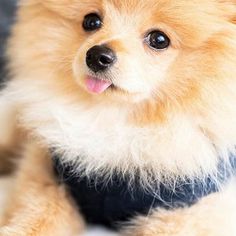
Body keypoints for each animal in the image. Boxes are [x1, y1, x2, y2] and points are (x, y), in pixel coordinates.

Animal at [0, 0, 236, 235]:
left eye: (159, 40)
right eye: (91, 21)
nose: (97, 55)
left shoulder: (189, 208)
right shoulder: (50, 176)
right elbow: (35, 216)